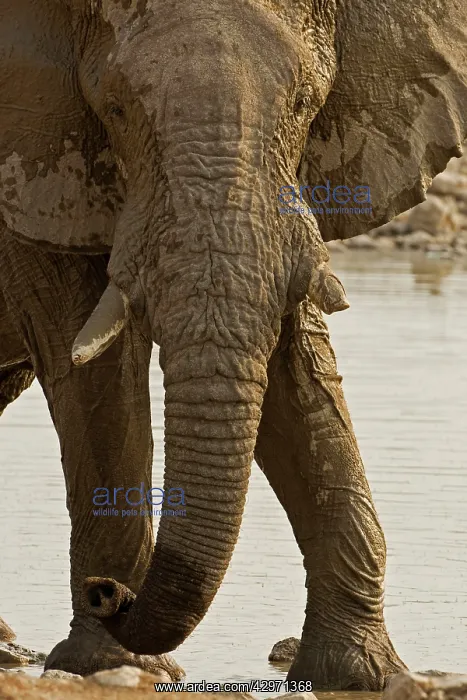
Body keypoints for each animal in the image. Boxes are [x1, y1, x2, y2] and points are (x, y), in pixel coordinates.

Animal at [0, 0, 466, 689]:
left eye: (305, 104)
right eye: (114, 109)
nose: (107, 592)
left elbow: (297, 382)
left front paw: (359, 675)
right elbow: (93, 375)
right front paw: (113, 667)